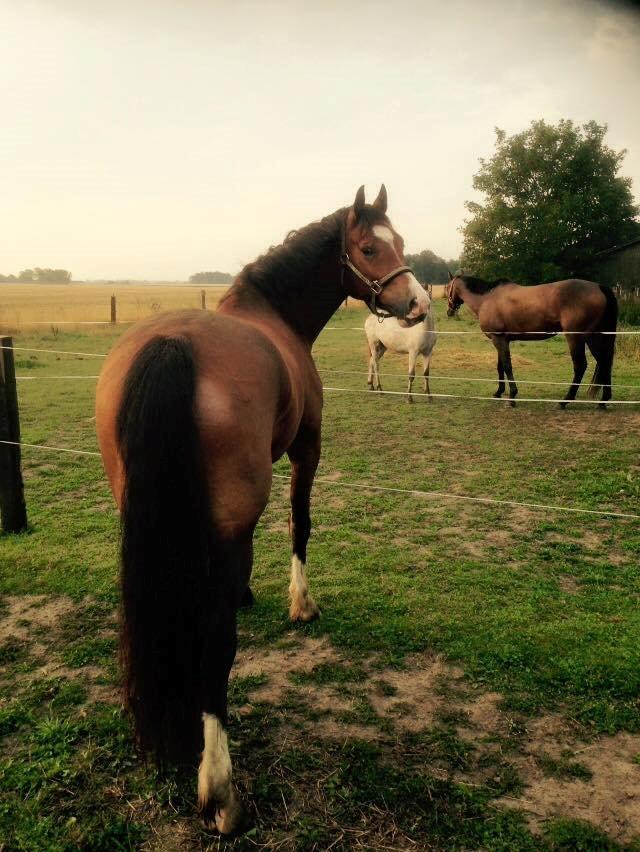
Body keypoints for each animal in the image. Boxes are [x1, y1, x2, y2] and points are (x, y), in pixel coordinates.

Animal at [95, 185, 428, 832]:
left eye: (400, 241)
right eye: (370, 247)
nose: (419, 303)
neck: (273, 316)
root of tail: (172, 347)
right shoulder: (306, 449)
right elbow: (300, 523)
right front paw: (301, 604)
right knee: (216, 639)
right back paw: (220, 791)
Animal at [448, 272, 616, 406]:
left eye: (448, 287)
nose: (449, 311)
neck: (487, 299)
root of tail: (599, 287)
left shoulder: (499, 339)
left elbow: (507, 366)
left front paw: (512, 396)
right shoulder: (501, 340)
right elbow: (500, 366)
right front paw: (499, 392)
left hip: (579, 337)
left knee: (581, 366)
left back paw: (565, 401)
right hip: (595, 337)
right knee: (604, 362)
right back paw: (603, 400)